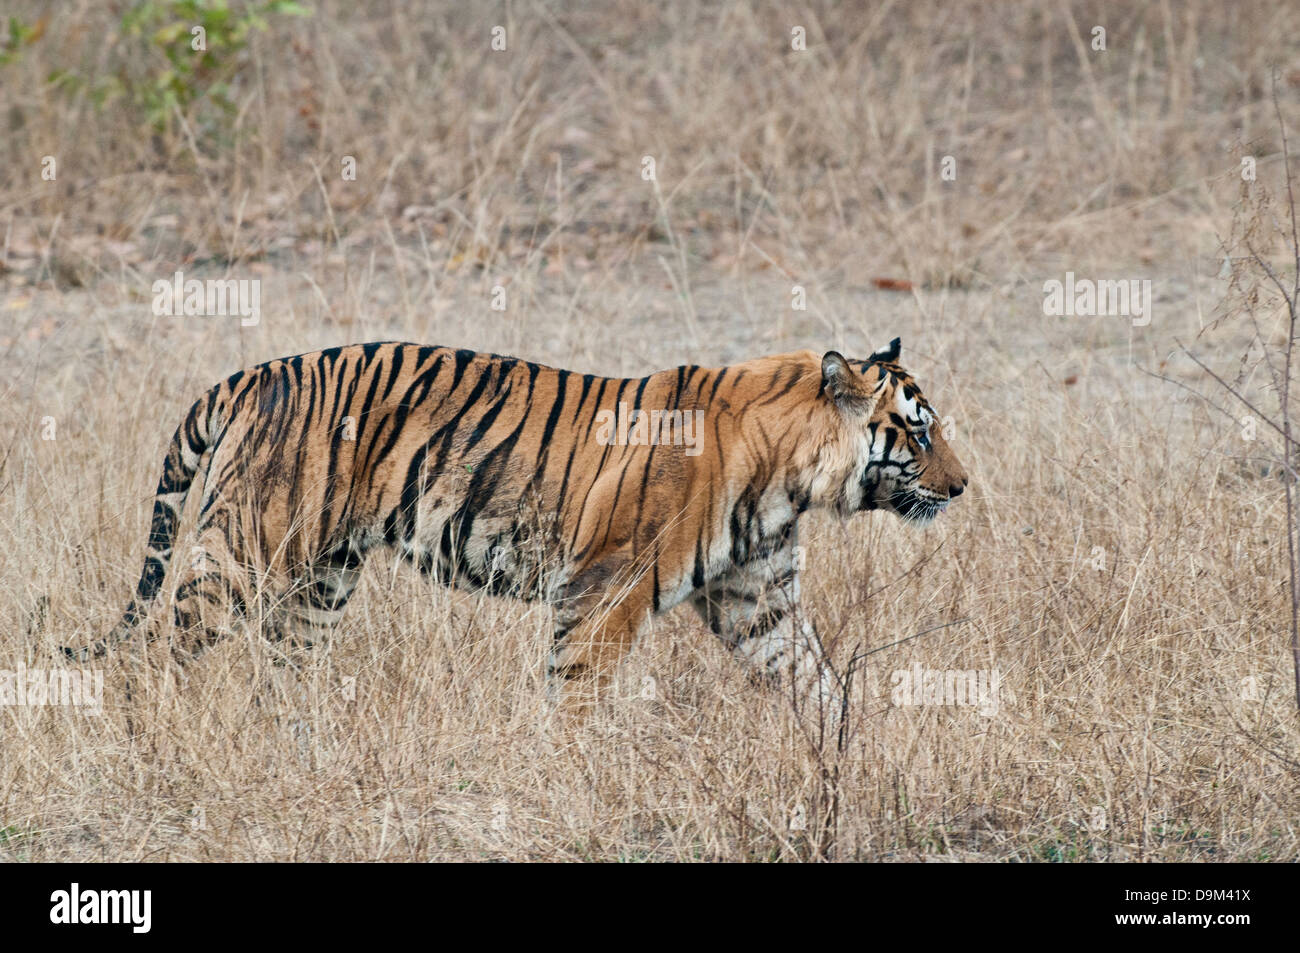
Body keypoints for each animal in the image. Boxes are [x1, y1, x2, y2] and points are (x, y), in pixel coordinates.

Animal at [68, 338, 967, 717]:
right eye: (919, 432)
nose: (962, 486)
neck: (792, 476)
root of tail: (255, 372)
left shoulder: (760, 602)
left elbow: (819, 681)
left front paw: (859, 755)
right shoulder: (603, 591)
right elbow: (576, 693)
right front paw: (578, 775)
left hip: (322, 580)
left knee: (282, 669)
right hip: (243, 555)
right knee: (152, 657)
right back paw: (153, 740)